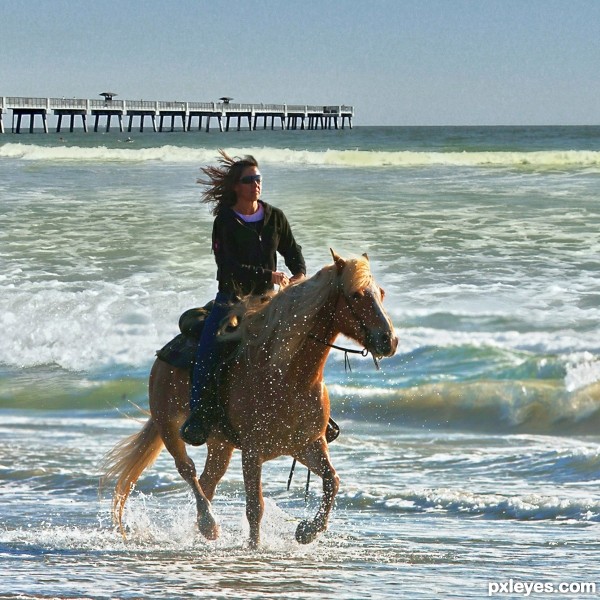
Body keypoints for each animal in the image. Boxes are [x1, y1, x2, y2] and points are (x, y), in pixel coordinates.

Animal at [101, 250, 396, 548]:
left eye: (381, 293)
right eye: (356, 295)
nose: (389, 340)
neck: (287, 375)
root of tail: (165, 352)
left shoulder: (306, 445)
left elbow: (331, 481)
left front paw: (306, 531)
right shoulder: (253, 451)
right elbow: (255, 506)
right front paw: (254, 549)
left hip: (221, 444)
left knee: (208, 481)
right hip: (169, 426)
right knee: (188, 469)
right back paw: (209, 524)